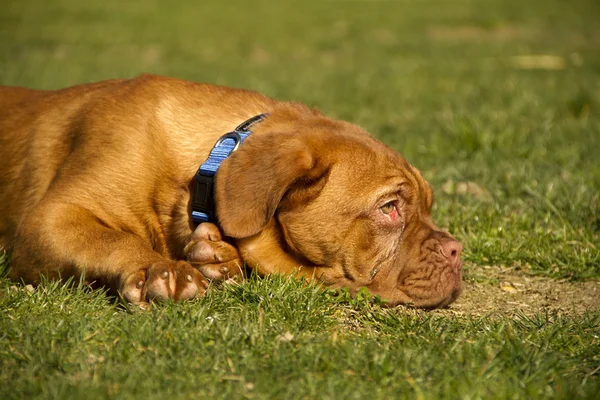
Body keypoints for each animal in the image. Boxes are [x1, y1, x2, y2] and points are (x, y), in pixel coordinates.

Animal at [0, 73, 464, 308]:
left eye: (428, 207)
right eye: (389, 208)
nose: (457, 250)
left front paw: (218, 258)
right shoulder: (50, 220)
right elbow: (111, 239)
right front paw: (163, 270)